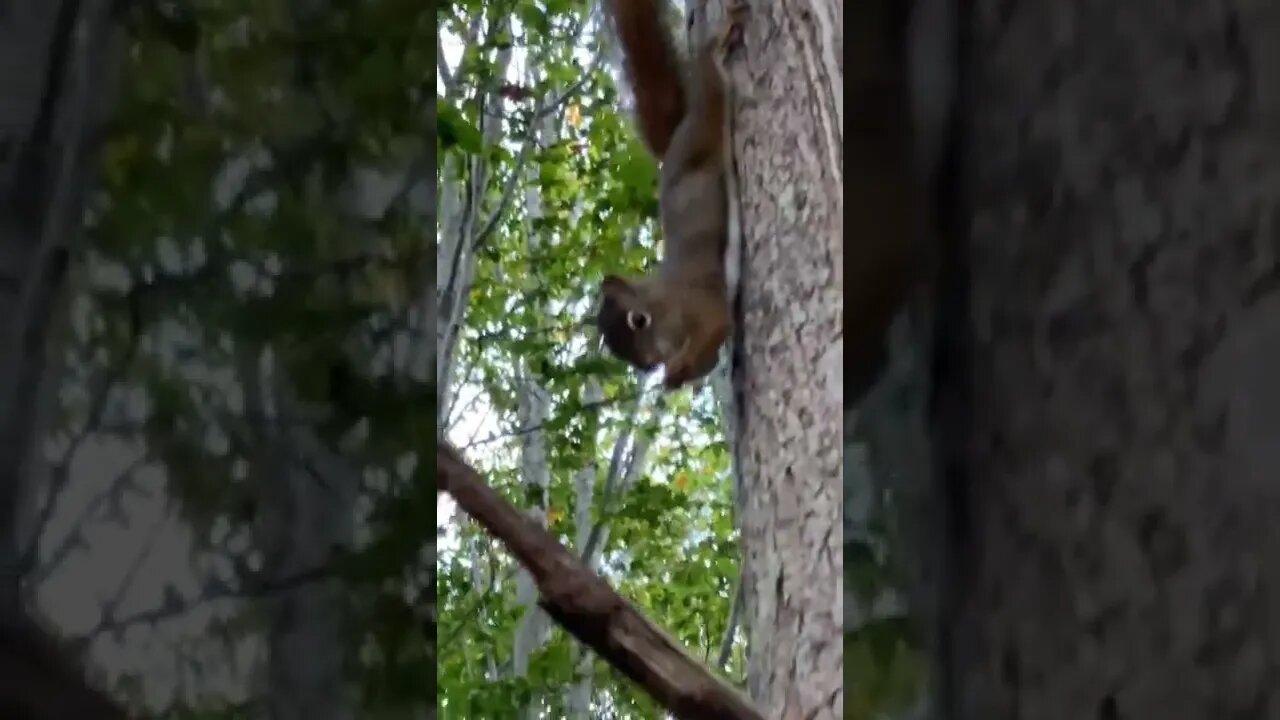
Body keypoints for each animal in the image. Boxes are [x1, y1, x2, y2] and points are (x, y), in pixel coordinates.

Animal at [595, 0, 747, 390]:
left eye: (638, 321)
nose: (649, 364)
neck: (667, 303)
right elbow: (708, 360)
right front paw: (675, 377)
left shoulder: (701, 300)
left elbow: (717, 323)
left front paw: (677, 368)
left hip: (705, 116)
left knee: (710, 76)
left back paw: (717, 39)